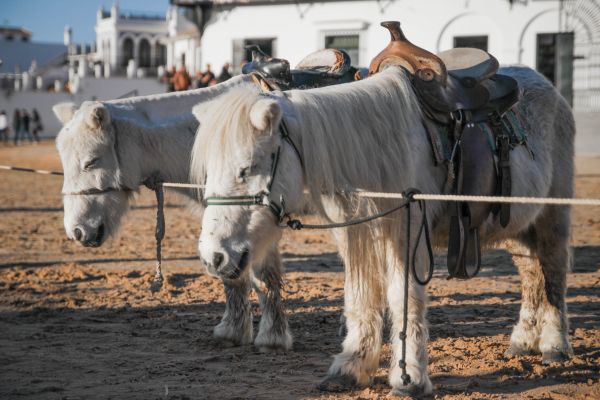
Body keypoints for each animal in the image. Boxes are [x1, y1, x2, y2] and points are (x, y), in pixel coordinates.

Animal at [54, 75, 292, 350]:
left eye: (91, 161)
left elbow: (264, 275)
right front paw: (233, 331)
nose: (76, 231)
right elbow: (233, 274)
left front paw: (272, 337)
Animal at [190, 66, 576, 396]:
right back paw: (523, 341)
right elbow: (360, 297)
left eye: (246, 168)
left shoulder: (406, 234)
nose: (213, 257)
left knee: (553, 273)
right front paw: (350, 368)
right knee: (531, 274)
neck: (375, 147)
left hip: (553, 217)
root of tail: (548, 86)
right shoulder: (355, 233)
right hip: (519, 226)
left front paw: (411, 377)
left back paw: (554, 345)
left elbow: (403, 298)